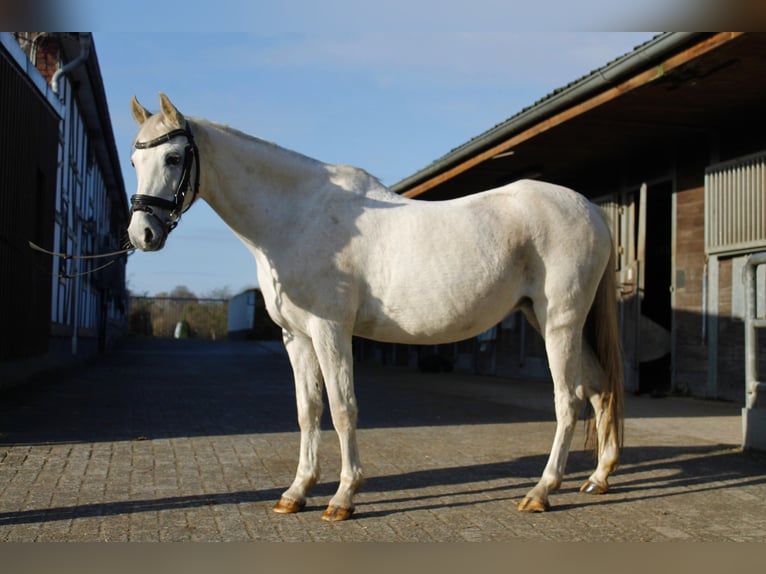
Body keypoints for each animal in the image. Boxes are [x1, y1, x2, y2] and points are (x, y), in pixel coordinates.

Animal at [127, 93, 624, 520]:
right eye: (134, 161)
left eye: (174, 158)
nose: (142, 234)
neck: (297, 217)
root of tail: (591, 211)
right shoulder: (297, 337)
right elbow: (308, 409)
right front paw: (296, 492)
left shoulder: (330, 330)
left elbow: (343, 407)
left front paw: (343, 497)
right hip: (545, 319)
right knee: (600, 389)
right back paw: (598, 478)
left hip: (560, 322)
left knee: (568, 399)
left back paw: (541, 491)